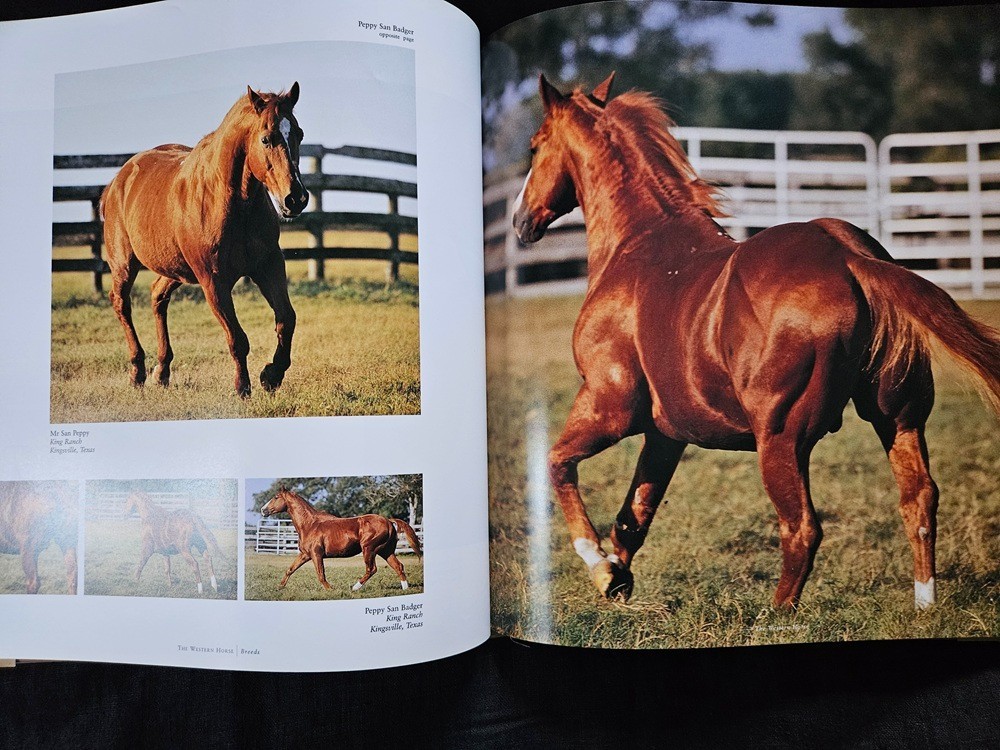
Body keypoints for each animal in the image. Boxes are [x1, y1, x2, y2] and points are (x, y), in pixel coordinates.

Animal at [100, 83, 308, 399]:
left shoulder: (268, 267)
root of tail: (118, 180)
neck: (229, 202)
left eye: (299, 133)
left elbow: (287, 320)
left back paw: (162, 370)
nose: (295, 198)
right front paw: (243, 387)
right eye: (266, 138)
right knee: (121, 304)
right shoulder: (213, 281)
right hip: (124, 264)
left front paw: (271, 376)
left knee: (157, 296)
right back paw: (137, 371)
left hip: (174, 269)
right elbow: (237, 338)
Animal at [260, 488, 422, 592]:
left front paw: (331, 590)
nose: (263, 510)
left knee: (372, 569)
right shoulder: (305, 554)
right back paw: (405, 589)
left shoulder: (316, 554)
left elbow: (321, 575)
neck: (310, 525)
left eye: (276, 497)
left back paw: (355, 588)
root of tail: (388, 521)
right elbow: (290, 570)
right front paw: (279, 587)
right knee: (398, 566)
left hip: (369, 549)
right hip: (385, 551)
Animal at [513, 73, 1000, 611]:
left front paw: (600, 567)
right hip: (899, 417)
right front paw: (616, 577)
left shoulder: (608, 405)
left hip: (781, 438)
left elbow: (556, 463)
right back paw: (923, 607)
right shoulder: (665, 433)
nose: (521, 220)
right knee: (919, 498)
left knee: (802, 528)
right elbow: (633, 516)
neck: (638, 245)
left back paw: (776, 614)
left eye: (534, 147)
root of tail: (848, 255)